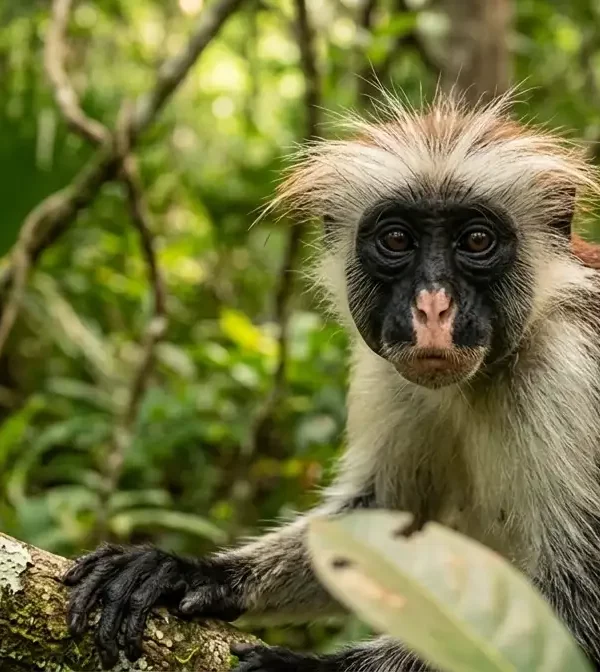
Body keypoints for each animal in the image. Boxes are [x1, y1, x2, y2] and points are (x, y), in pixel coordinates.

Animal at [64, 89, 600, 672]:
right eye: (397, 239)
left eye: (476, 240)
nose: (432, 308)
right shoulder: (392, 372)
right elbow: (383, 519)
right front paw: (191, 572)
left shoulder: (569, 373)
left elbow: (576, 618)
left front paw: (299, 667)